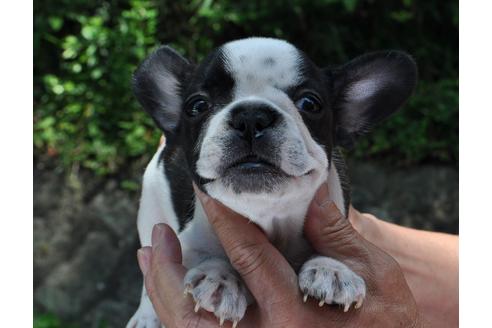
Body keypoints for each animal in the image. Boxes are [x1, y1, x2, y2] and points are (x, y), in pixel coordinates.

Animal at [125, 37, 418, 326]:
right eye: (197, 106)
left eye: (310, 103)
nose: (250, 116)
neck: (270, 216)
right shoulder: (186, 241)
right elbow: (203, 254)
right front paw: (220, 278)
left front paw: (331, 269)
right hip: (150, 213)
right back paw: (146, 317)